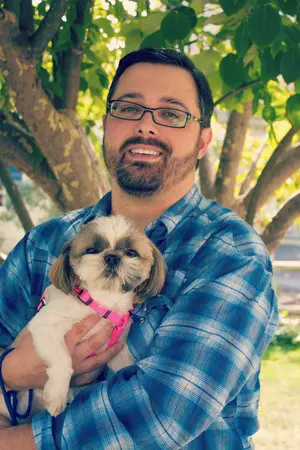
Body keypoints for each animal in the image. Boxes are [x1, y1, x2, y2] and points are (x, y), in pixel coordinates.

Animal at [0, 214, 166, 422]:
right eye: (92, 250)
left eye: (131, 252)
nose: (112, 257)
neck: (102, 302)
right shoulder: (45, 325)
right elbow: (63, 361)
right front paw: (56, 395)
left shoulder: (116, 348)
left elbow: (125, 366)